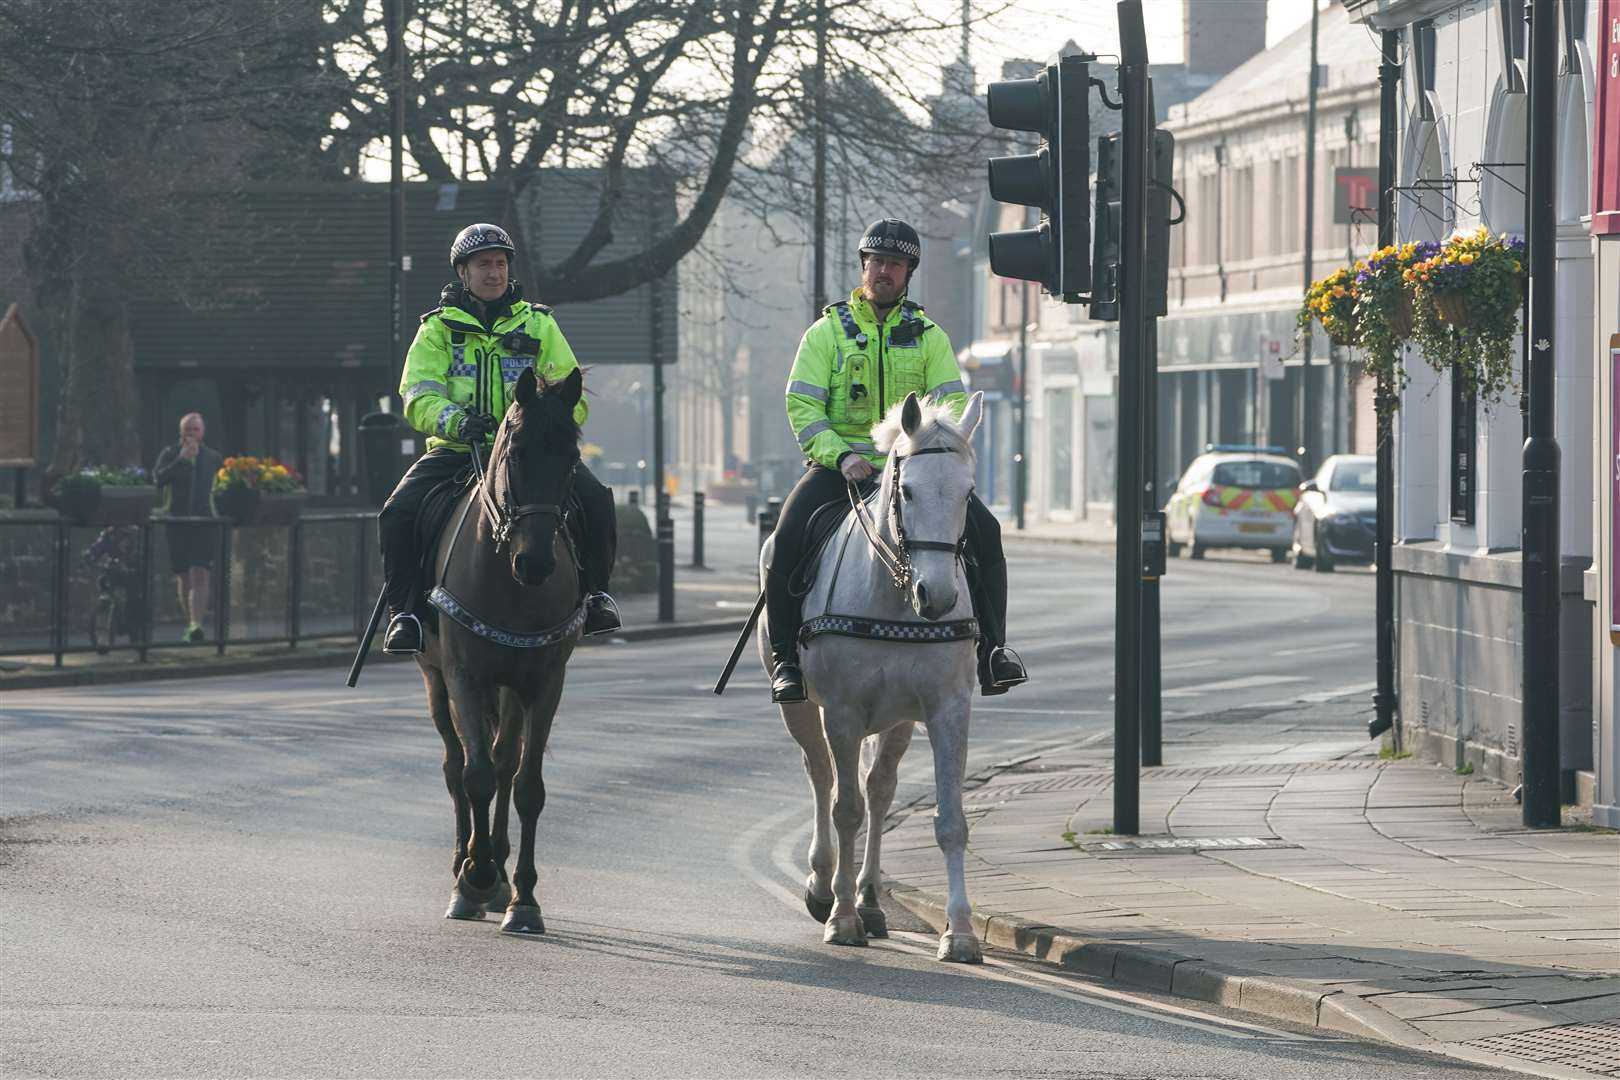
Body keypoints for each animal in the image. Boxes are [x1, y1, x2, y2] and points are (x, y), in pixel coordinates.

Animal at [417, 367, 589, 932]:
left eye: (572, 458)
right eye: (514, 452)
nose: (535, 563)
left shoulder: (544, 681)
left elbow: (526, 783)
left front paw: (523, 898)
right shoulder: (463, 677)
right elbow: (475, 776)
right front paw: (474, 877)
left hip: (512, 687)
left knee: (505, 762)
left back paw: (498, 868)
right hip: (435, 681)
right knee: (457, 765)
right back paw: (466, 866)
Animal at [761, 388, 984, 965]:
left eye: (968, 494)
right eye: (906, 490)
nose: (938, 596)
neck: (893, 594)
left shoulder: (947, 710)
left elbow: (950, 820)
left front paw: (960, 932)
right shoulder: (841, 713)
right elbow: (845, 810)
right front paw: (840, 919)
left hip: (898, 720)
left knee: (879, 790)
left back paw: (870, 900)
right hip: (801, 709)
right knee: (821, 777)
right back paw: (824, 888)